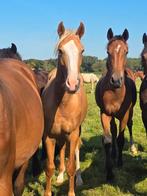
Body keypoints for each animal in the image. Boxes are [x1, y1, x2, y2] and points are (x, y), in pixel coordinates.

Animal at [41, 21, 87, 196]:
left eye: (82, 50)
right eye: (60, 51)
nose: (72, 84)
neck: (62, 104)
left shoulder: (73, 135)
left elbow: (71, 166)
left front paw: (72, 191)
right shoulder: (48, 136)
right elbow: (49, 167)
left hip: (77, 131)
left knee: (76, 151)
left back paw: (79, 179)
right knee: (61, 150)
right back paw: (60, 175)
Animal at [95, 28, 137, 181]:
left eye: (126, 51)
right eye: (108, 51)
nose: (116, 80)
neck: (115, 92)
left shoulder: (124, 115)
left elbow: (120, 138)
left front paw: (119, 162)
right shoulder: (105, 113)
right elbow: (108, 139)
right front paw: (109, 172)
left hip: (130, 112)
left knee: (129, 125)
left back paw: (131, 148)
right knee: (113, 130)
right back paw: (113, 154)